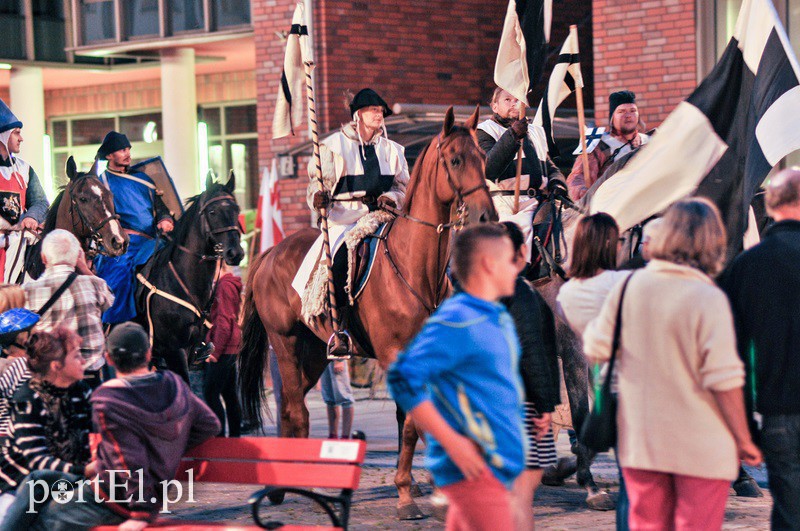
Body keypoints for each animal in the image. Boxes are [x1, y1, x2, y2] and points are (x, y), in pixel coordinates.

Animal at [241, 107, 496, 520]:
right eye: (456, 160)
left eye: (483, 159)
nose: (487, 216)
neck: (413, 266)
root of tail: (268, 254)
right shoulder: (394, 355)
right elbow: (415, 423)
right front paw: (412, 494)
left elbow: (415, 421)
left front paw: (423, 489)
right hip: (285, 344)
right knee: (296, 409)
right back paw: (297, 483)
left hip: (315, 353)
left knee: (289, 410)